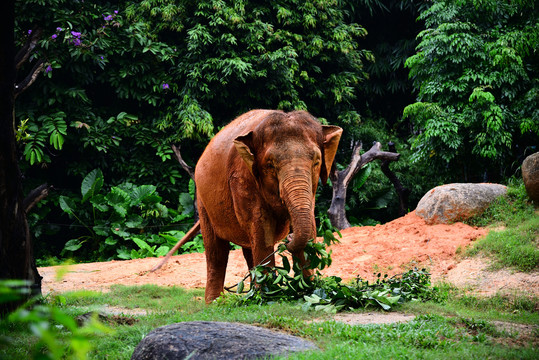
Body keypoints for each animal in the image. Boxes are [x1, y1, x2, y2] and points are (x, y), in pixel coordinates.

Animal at [151, 108, 342, 302]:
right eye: (270, 165)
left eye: (316, 162)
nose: (288, 238)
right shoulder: (241, 177)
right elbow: (262, 228)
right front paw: (270, 296)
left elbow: (309, 228)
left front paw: (311, 291)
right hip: (202, 201)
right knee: (217, 252)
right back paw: (215, 302)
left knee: (248, 247)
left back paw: (252, 292)